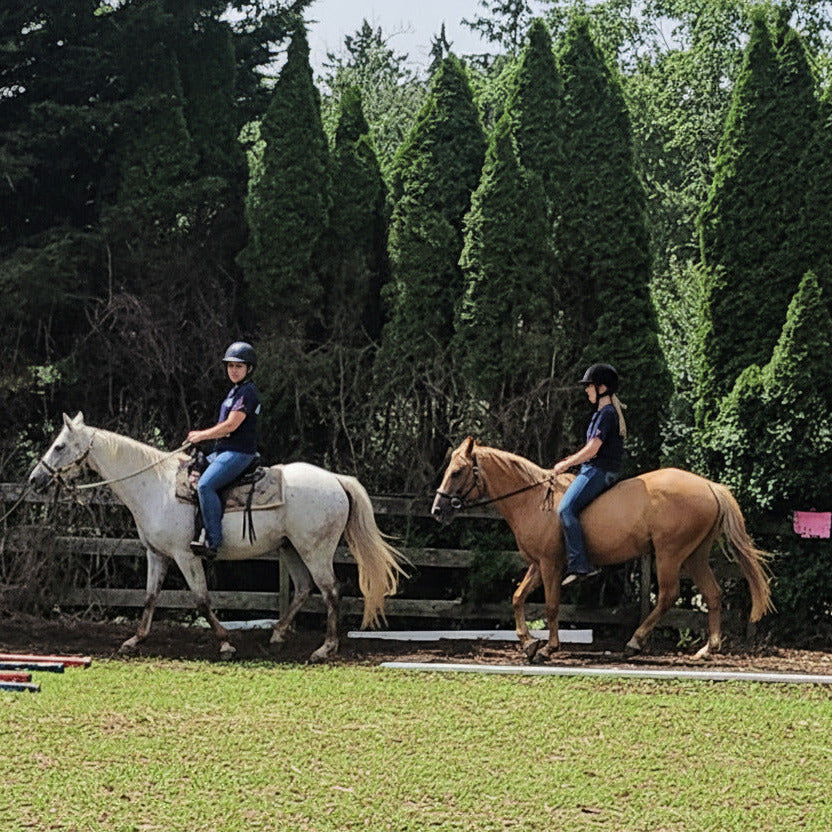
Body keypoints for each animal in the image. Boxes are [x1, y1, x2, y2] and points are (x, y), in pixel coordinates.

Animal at [28, 413, 406, 662]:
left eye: (59, 446)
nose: (34, 479)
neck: (155, 486)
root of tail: (337, 480)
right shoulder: (156, 554)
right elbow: (149, 597)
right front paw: (134, 641)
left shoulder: (186, 555)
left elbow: (200, 599)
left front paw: (225, 643)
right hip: (291, 550)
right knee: (303, 589)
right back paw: (278, 634)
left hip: (315, 550)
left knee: (331, 591)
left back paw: (324, 649)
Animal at [431, 437, 773, 662]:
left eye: (458, 472)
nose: (437, 510)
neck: (532, 499)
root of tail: (709, 487)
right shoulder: (538, 564)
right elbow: (517, 597)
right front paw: (527, 643)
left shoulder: (551, 564)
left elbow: (551, 606)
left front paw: (548, 647)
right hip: (694, 554)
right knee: (713, 594)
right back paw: (707, 649)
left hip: (670, 553)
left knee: (667, 595)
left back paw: (635, 642)